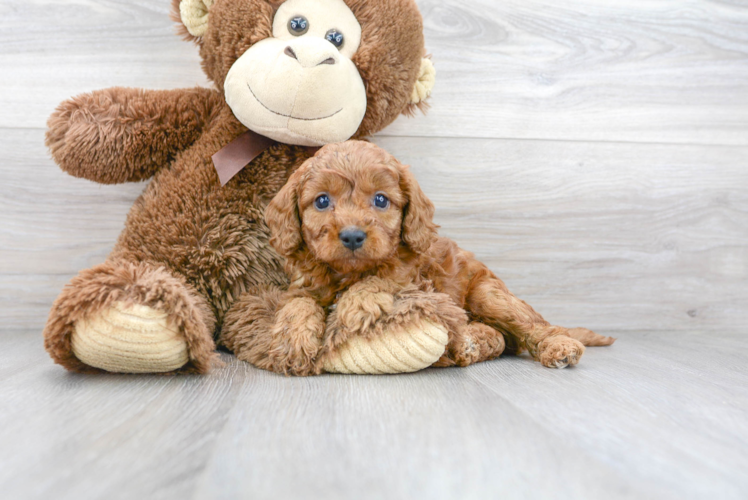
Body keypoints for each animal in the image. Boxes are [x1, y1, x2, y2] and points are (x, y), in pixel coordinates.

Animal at [224, 141, 612, 376]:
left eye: (381, 200)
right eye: (321, 201)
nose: (352, 236)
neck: (347, 272)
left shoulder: (414, 277)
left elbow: (381, 278)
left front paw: (354, 305)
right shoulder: (303, 286)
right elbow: (297, 305)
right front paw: (293, 342)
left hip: (488, 293)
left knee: (531, 327)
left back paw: (559, 345)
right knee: (501, 339)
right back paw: (470, 343)